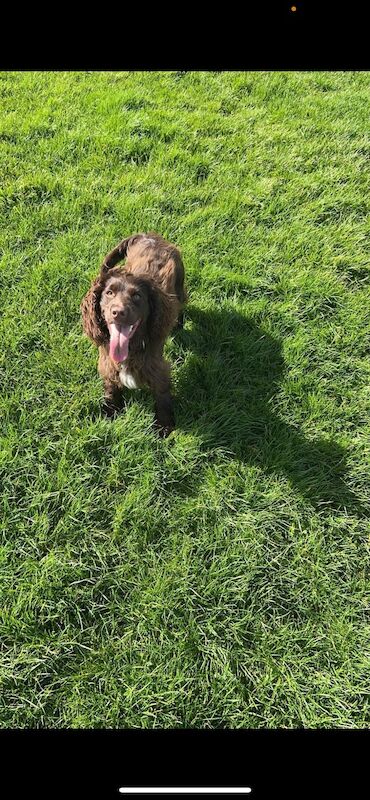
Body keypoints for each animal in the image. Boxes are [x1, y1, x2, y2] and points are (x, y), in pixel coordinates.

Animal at [80, 231, 186, 438]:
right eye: (109, 293)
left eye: (137, 296)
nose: (118, 312)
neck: (131, 348)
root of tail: (147, 234)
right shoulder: (107, 364)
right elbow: (111, 388)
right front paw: (111, 413)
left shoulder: (158, 369)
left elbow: (162, 396)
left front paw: (164, 426)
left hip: (180, 280)